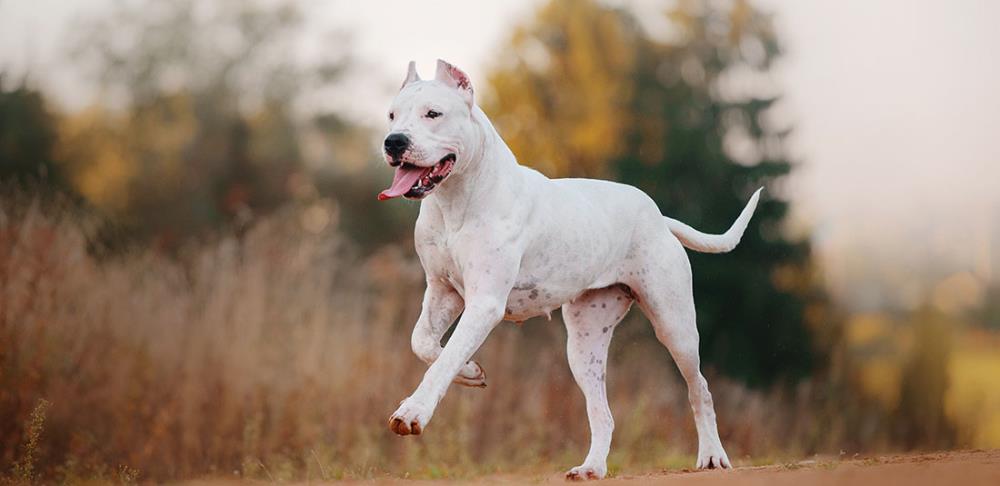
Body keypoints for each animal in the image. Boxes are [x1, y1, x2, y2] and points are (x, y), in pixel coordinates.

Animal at [376, 59, 756, 478]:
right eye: (392, 115)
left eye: (433, 114)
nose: (393, 141)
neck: (456, 200)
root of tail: (658, 216)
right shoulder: (442, 290)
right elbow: (425, 343)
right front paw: (471, 372)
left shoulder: (484, 303)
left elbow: (442, 360)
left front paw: (413, 412)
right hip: (583, 344)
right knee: (603, 414)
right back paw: (592, 467)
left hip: (675, 326)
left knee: (699, 388)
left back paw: (712, 455)